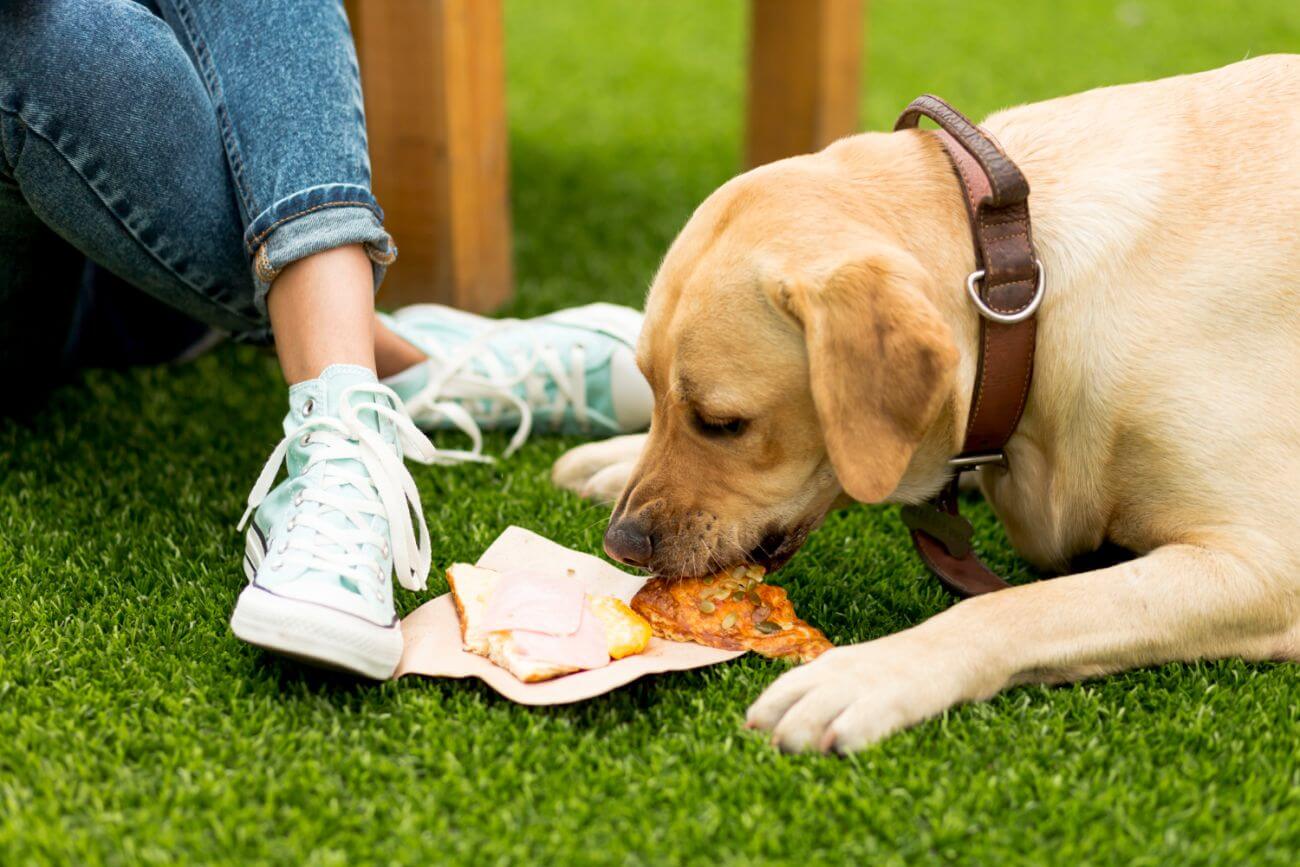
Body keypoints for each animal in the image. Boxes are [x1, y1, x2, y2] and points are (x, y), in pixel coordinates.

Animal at [551, 55, 1300, 753]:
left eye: (724, 423)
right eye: (652, 393)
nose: (621, 544)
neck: (1021, 290)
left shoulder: (1265, 566)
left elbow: (1022, 607)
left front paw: (866, 673)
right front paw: (616, 457)